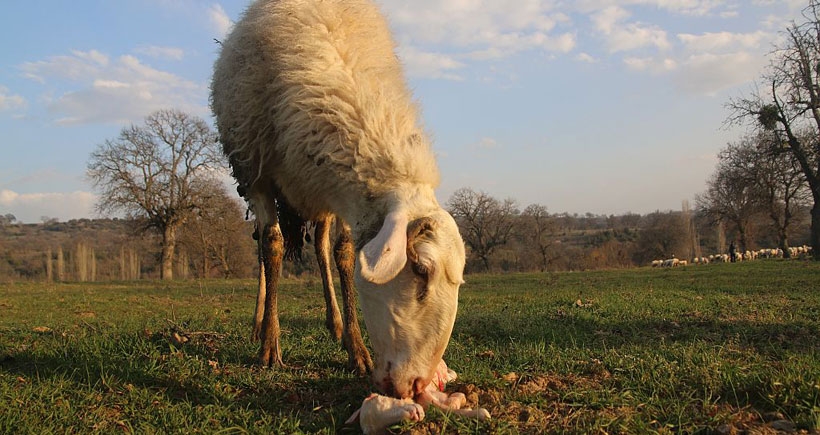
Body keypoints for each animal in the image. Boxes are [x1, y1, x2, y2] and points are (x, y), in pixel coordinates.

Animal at [211, 0, 468, 398]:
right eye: (421, 270)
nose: (419, 383)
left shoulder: (348, 195)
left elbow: (344, 254)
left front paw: (357, 348)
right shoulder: (257, 172)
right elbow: (273, 246)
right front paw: (270, 346)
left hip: (318, 193)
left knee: (320, 246)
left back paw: (336, 325)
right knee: (263, 247)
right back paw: (259, 323)